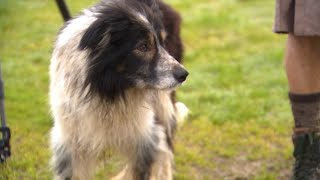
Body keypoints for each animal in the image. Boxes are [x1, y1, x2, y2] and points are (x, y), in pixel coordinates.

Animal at [49, 0, 188, 179]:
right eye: (143, 46)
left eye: (163, 43)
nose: (184, 75)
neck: (111, 91)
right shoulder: (70, 146)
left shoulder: (144, 139)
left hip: (163, 105)